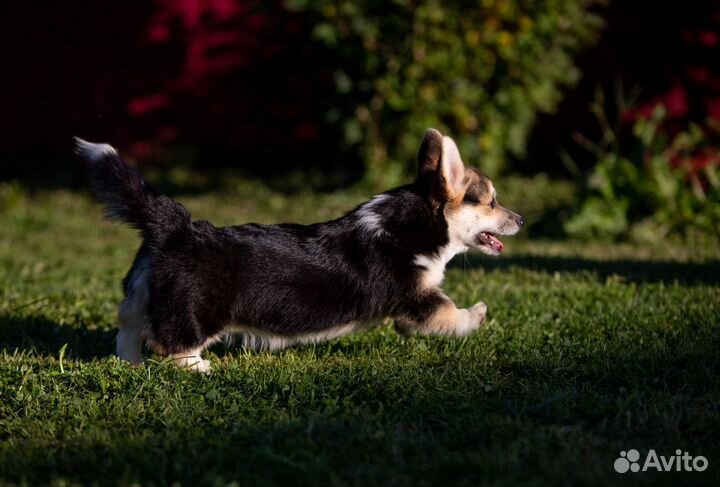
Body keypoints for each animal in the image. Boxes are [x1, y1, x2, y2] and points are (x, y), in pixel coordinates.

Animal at [74, 127, 524, 372]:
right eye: (491, 202)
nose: (520, 220)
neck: (417, 223)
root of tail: (176, 227)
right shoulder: (417, 302)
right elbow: (450, 313)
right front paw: (479, 314)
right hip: (198, 310)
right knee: (172, 346)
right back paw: (200, 367)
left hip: (139, 291)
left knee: (128, 329)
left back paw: (131, 364)